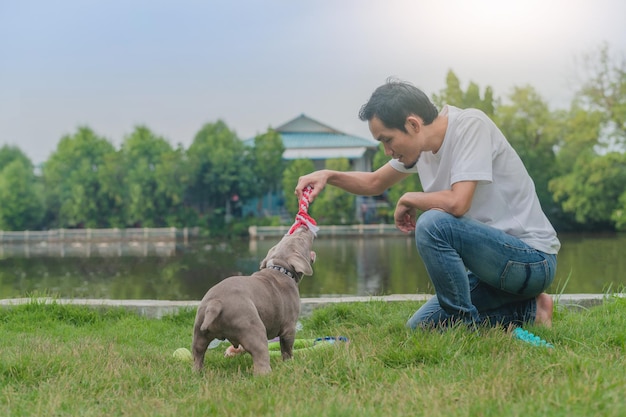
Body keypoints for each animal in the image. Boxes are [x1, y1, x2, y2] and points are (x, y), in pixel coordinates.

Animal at [190, 226, 314, 376]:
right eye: (301, 239)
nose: (304, 226)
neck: (280, 269)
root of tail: (215, 304)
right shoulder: (289, 327)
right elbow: (287, 349)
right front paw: (289, 363)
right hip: (253, 328)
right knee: (260, 354)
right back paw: (266, 374)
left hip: (199, 329)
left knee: (198, 353)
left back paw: (197, 373)